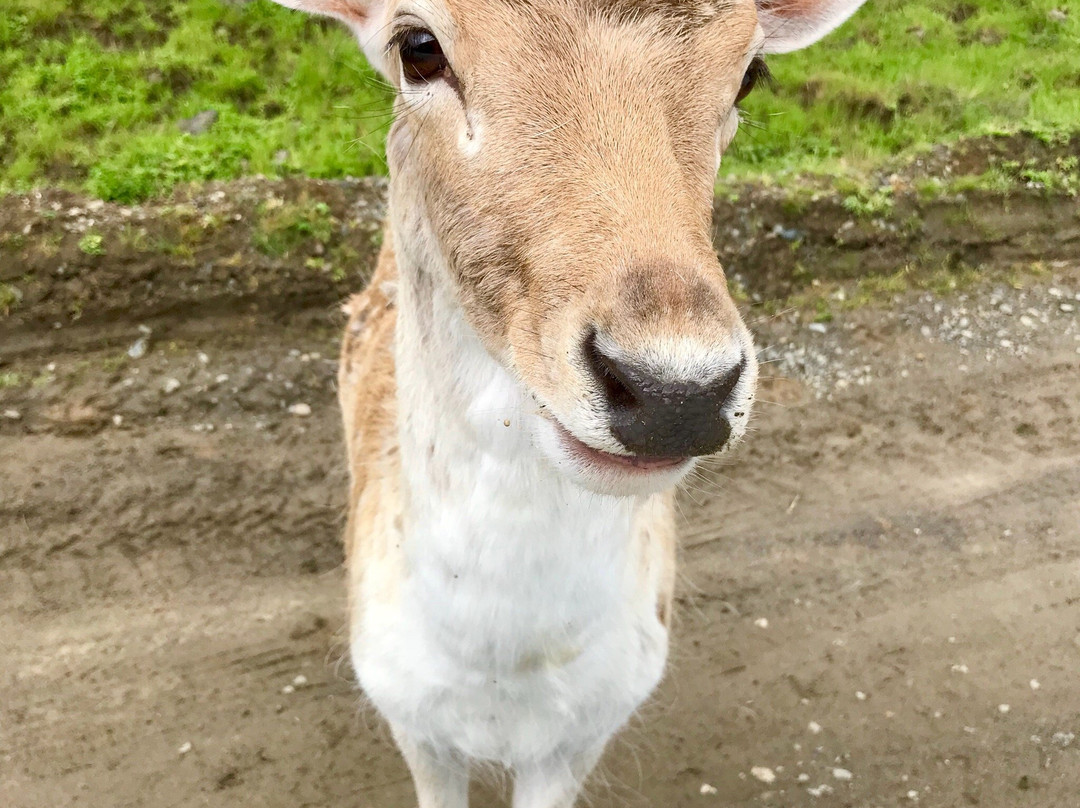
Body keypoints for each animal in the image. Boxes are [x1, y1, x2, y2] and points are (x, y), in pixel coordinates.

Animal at [270, 1, 868, 808]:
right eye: (419, 47)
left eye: (751, 72)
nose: (675, 391)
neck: (502, 679)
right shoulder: (410, 718)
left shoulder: (586, 731)